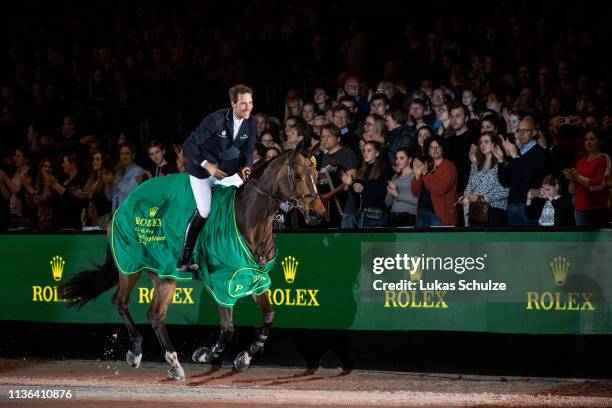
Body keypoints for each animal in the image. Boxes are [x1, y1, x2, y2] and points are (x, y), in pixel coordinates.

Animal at [58, 143, 326, 380]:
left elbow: (269, 315)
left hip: (164, 274)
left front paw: (246, 356)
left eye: (316, 174)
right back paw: (136, 352)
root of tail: (122, 205)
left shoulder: (256, 277)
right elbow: (227, 329)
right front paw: (205, 354)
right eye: (298, 175)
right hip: (130, 265)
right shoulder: (221, 282)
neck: (250, 222)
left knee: (155, 315)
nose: (317, 215)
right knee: (120, 302)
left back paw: (173, 363)